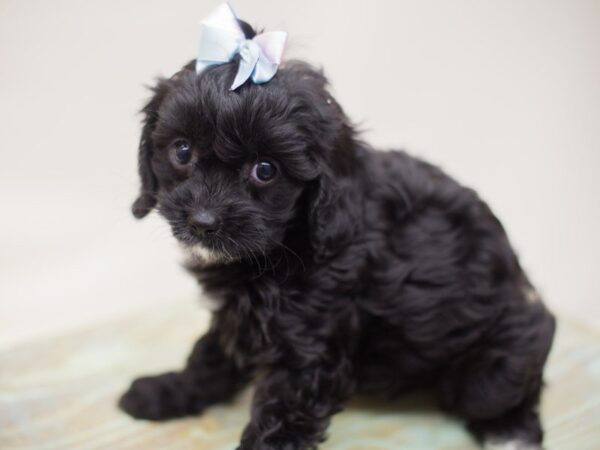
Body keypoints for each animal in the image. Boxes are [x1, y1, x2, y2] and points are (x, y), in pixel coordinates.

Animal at [118, 14, 556, 450]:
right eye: (182, 151)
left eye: (265, 170)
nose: (203, 221)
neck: (289, 243)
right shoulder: (236, 316)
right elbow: (210, 354)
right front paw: (167, 391)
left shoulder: (308, 345)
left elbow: (280, 414)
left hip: (491, 372)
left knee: (516, 382)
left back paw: (510, 431)